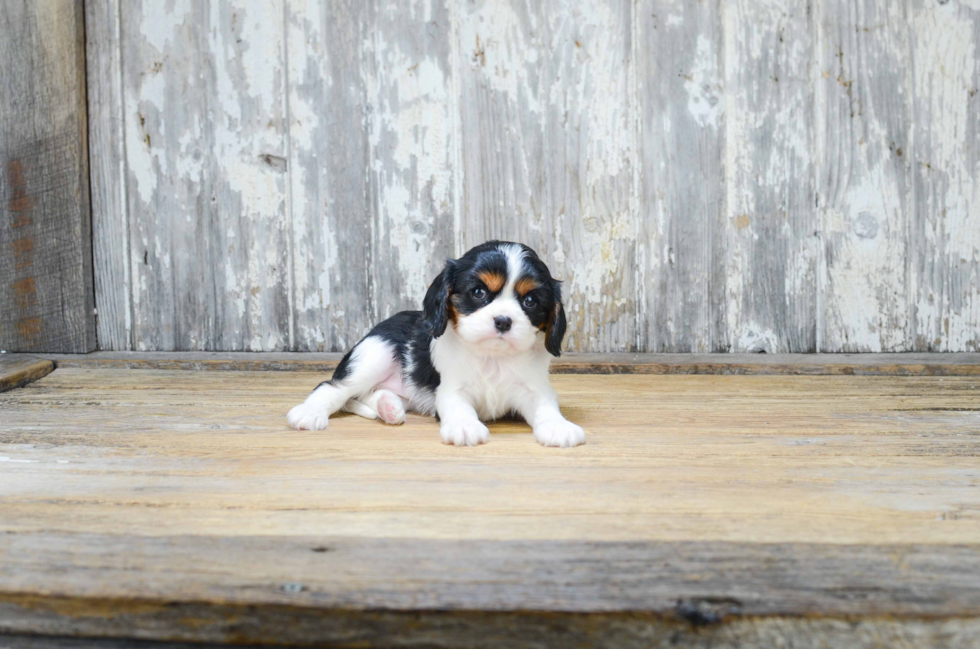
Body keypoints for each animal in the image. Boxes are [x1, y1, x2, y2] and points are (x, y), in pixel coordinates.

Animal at [288, 240, 584, 448]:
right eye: (478, 292)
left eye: (530, 301)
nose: (503, 321)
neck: (492, 356)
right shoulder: (451, 390)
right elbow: (459, 406)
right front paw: (465, 427)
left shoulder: (536, 389)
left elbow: (546, 407)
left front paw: (559, 426)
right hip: (374, 354)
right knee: (335, 387)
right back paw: (309, 412)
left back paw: (389, 407)